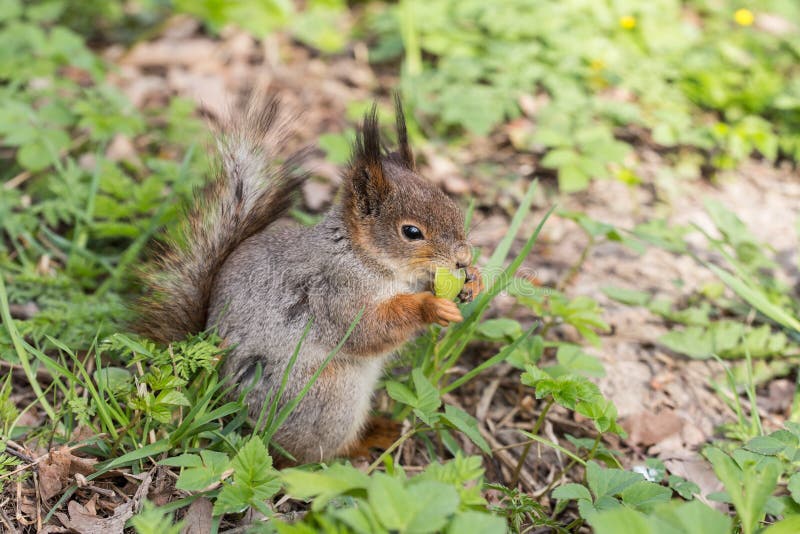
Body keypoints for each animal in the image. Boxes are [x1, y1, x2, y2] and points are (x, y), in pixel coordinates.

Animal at [135, 96, 483, 464]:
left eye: (451, 204)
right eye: (412, 232)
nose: (463, 258)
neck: (364, 257)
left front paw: (474, 280)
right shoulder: (334, 292)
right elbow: (368, 330)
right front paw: (431, 307)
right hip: (328, 397)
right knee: (313, 453)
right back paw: (370, 438)